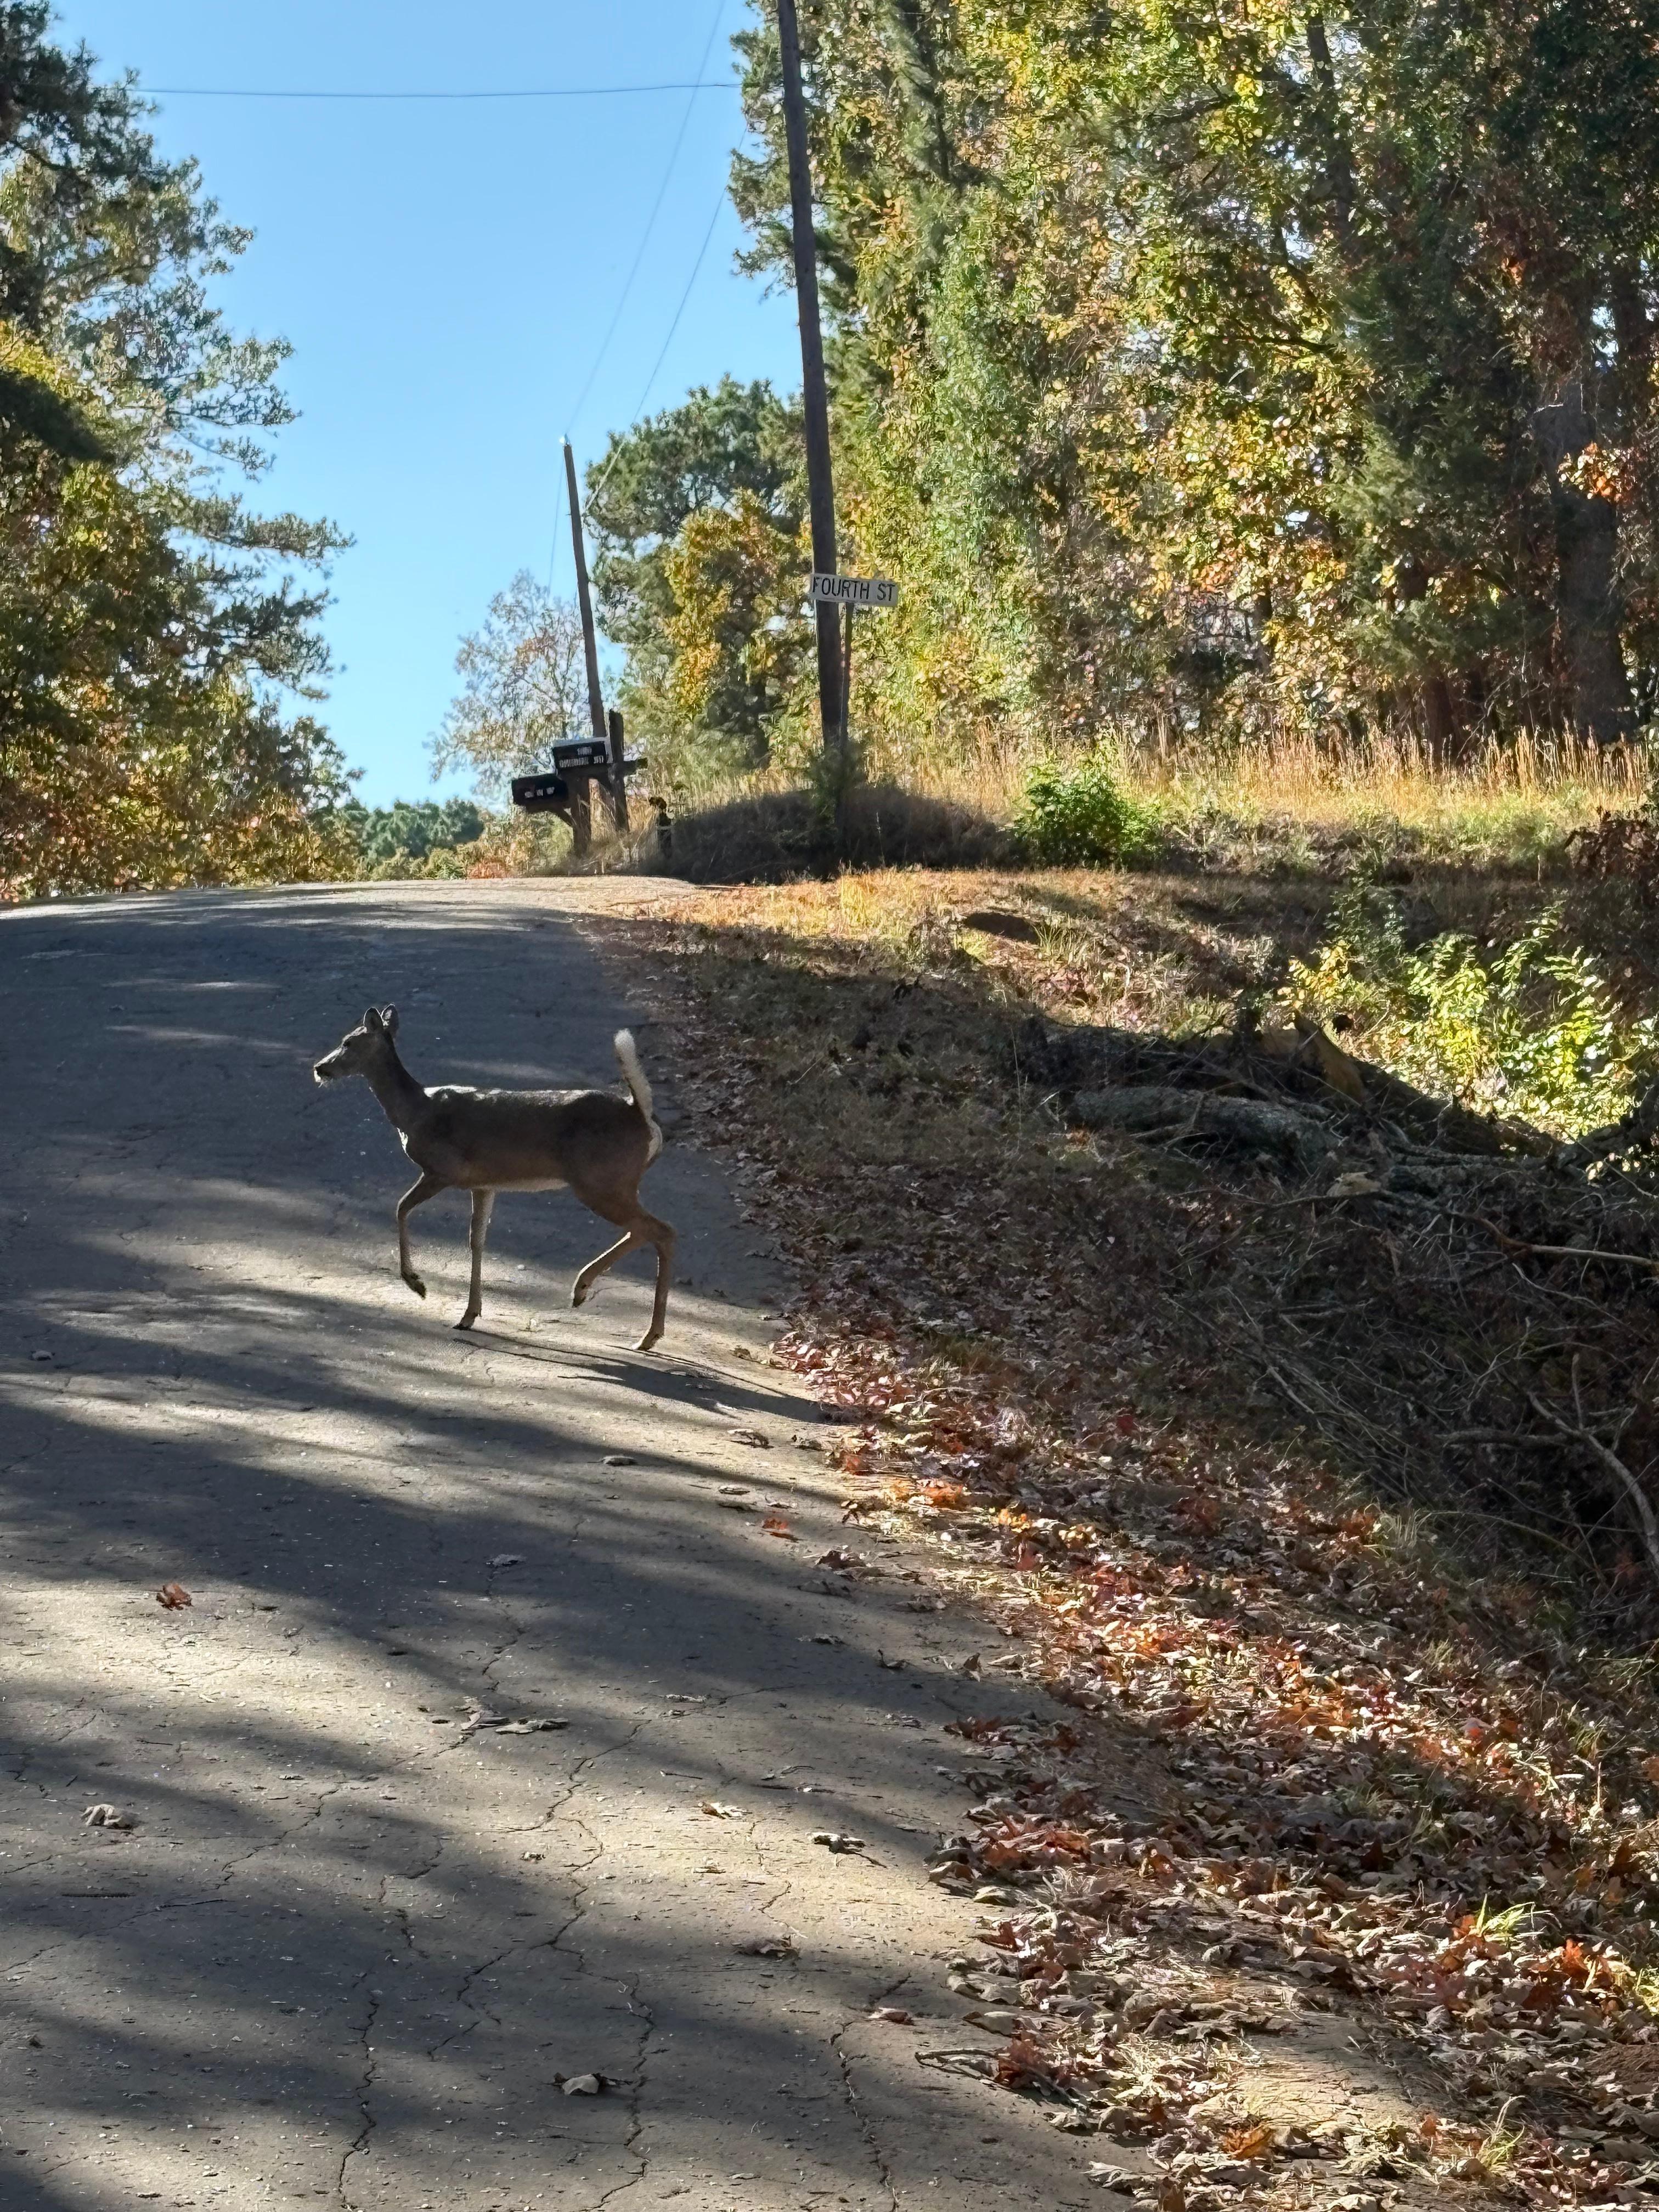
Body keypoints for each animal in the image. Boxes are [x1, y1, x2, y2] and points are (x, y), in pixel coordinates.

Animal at [312, 1007, 675, 1351]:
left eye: (348, 1042)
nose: (320, 1068)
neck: (415, 1113)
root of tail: (640, 1113)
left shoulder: (443, 1169)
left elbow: (401, 1208)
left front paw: (418, 1284)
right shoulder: (484, 1183)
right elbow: (477, 1240)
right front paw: (469, 1314)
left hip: (600, 1181)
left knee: (661, 1230)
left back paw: (641, 1330)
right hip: (615, 1183)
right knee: (644, 1230)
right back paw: (596, 1299)